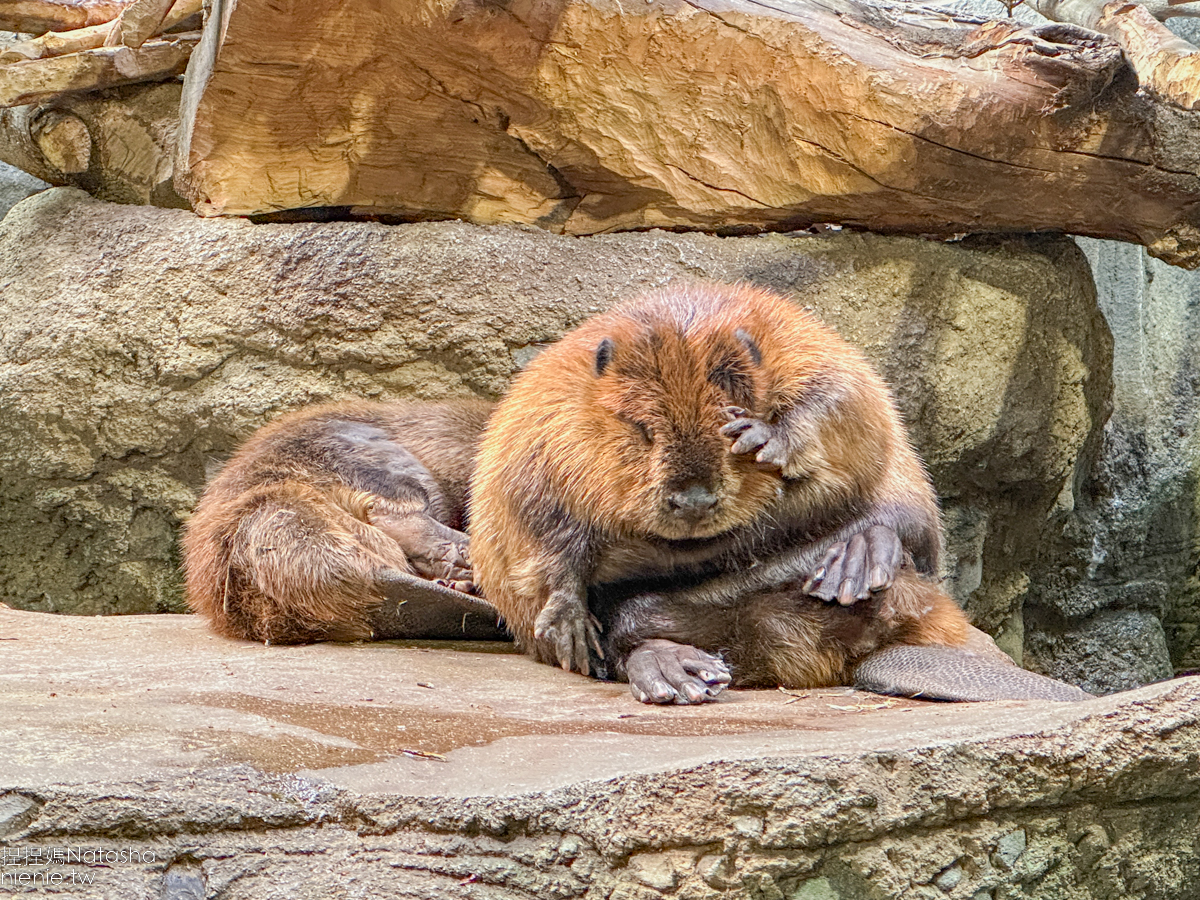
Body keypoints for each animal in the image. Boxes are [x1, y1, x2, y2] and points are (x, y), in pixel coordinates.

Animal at [472, 283, 1094, 705]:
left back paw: (852, 564)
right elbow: (537, 513)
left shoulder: (806, 349)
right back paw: (682, 671)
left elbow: (842, 401)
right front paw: (569, 622)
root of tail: (877, 656)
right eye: (641, 429)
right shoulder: (541, 422)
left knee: (902, 528)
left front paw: (764, 436)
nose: (693, 500)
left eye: (729, 417)